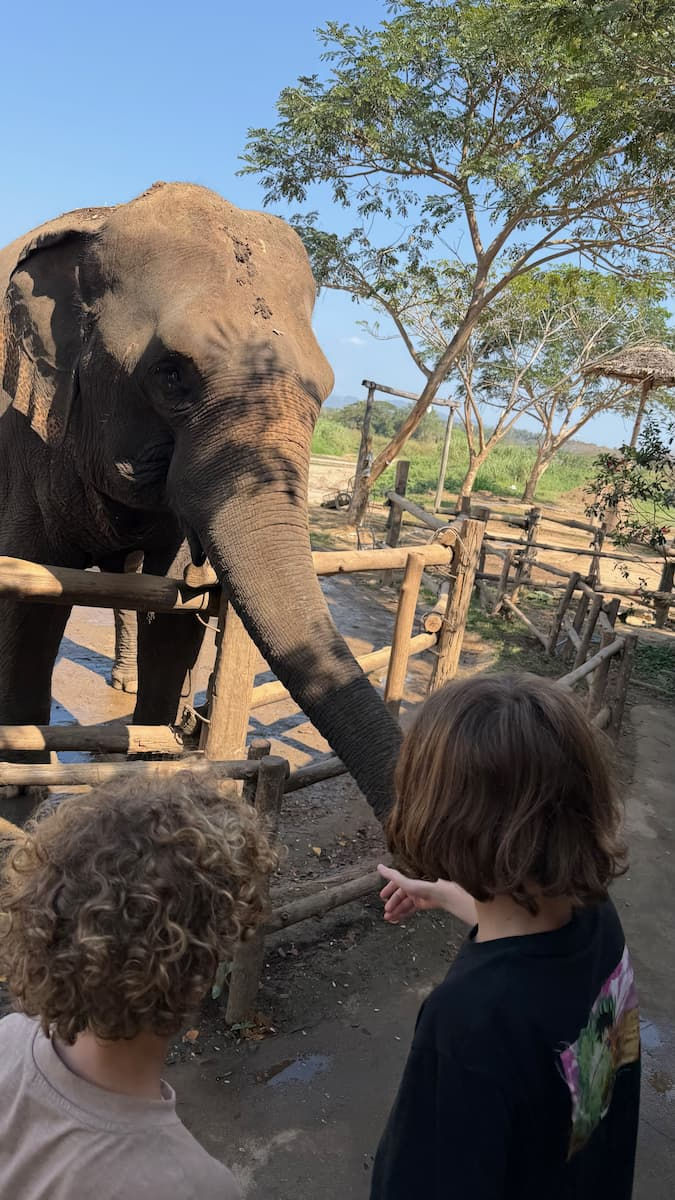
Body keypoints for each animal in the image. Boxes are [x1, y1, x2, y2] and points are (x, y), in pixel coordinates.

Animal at [0, 182, 402, 823]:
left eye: (324, 389)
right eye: (171, 375)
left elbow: (170, 604)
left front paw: (154, 770)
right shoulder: (24, 433)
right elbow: (33, 594)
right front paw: (22, 789)